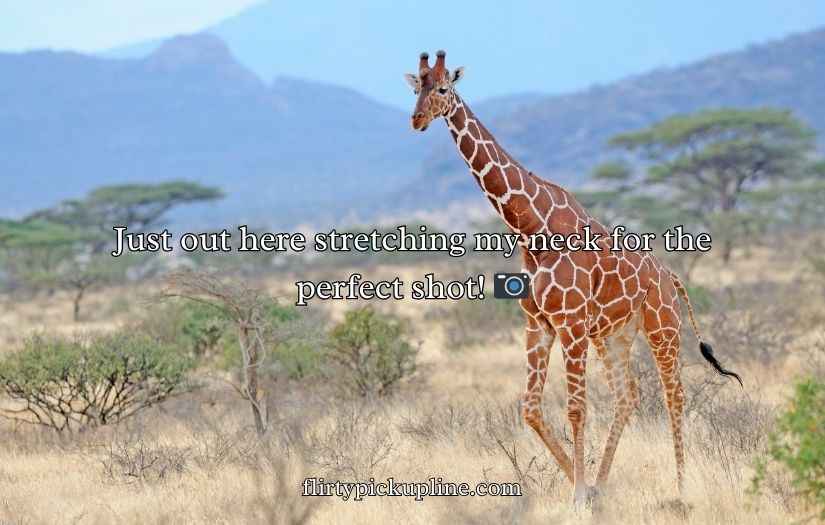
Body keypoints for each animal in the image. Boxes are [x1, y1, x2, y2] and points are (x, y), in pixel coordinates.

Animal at [405, 51, 742, 507]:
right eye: (416, 86)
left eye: (442, 88)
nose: (417, 120)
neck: (530, 227)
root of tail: (671, 275)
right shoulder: (539, 324)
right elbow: (530, 408)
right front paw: (583, 487)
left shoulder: (571, 323)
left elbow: (576, 409)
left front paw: (579, 494)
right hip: (614, 335)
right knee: (628, 394)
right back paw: (604, 482)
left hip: (662, 327)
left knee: (674, 394)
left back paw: (681, 487)